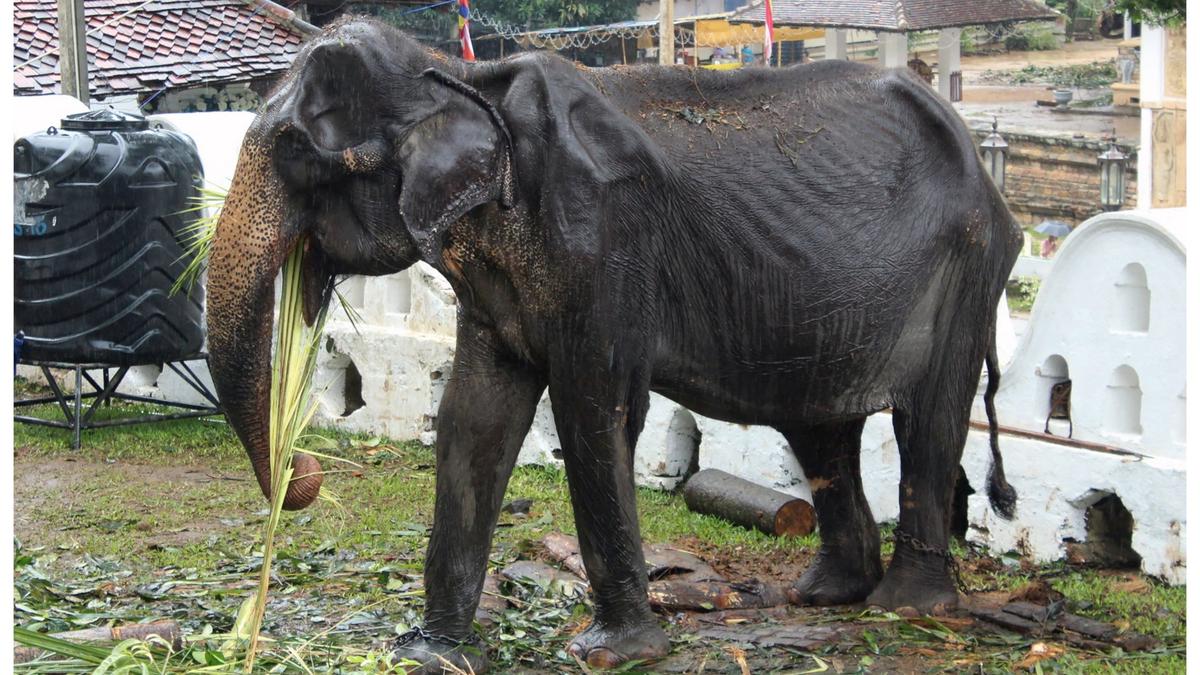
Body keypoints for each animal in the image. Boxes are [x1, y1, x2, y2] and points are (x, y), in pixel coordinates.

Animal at [206, 17, 1021, 672]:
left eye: (296, 152)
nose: (306, 469)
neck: (462, 80)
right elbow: (474, 420)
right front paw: (430, 654)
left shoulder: (602, 242)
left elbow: (595, 413)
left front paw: (611, 653)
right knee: (821, 429)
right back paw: (826, 595)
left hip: (968, 269)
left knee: (927, 421)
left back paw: (906, 607)